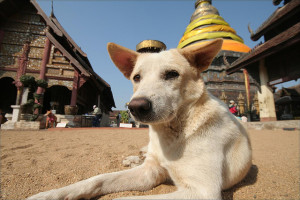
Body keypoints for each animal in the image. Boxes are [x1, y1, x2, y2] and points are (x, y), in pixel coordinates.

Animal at [27, 38, 251, 199]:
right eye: (136, 77)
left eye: (172, 74)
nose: (135, 107)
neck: (172, 133)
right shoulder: (149, 173)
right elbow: (96, 180)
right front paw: (49, 195)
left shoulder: (201, 191)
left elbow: (126, 198)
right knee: (143, 153)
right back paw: (132, 159)